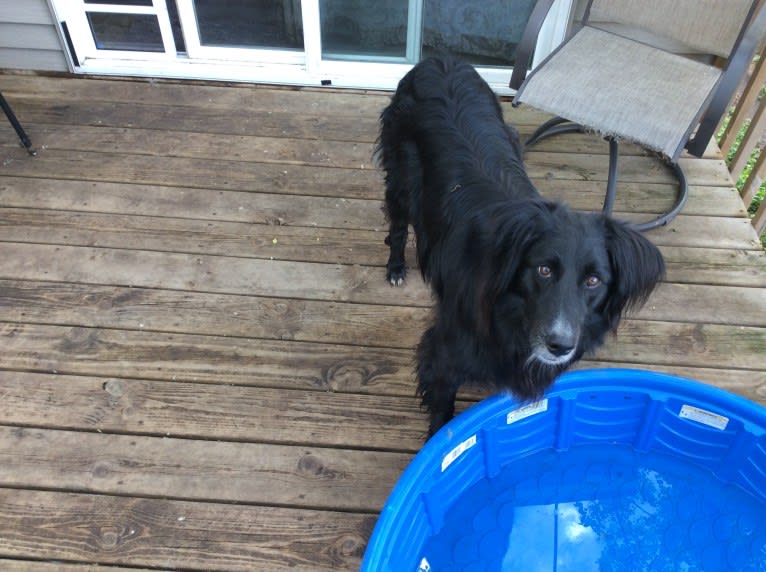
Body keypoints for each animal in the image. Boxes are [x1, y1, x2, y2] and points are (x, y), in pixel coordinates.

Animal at [378, 57, 664, 438]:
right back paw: (395, 268)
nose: (560, 346)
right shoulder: (442, 351)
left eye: (594, 281)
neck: (512, 314)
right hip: (401, 177)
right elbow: (443, 416)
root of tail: (441, 61)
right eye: (543, 270)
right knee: (397, 226)